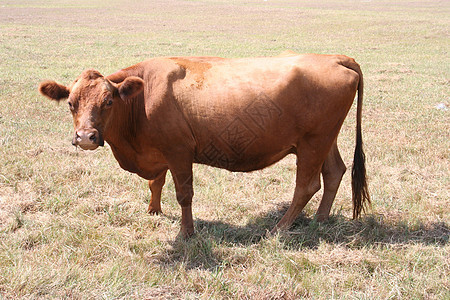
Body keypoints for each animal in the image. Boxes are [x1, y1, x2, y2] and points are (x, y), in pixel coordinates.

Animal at [38, 52, 370, 238]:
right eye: (70, 103)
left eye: (108, 101)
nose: (85, 137)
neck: (142, 99)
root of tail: (335, 58)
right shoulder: (158, 151)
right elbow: (156, 184)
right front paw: (153, 211)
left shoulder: (179, 151)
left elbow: (184, 194)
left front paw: (187, 233)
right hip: (323, 139)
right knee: (334, 173)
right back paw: (320, 220)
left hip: (314, 142)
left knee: (307, 185)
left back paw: (280, 228)